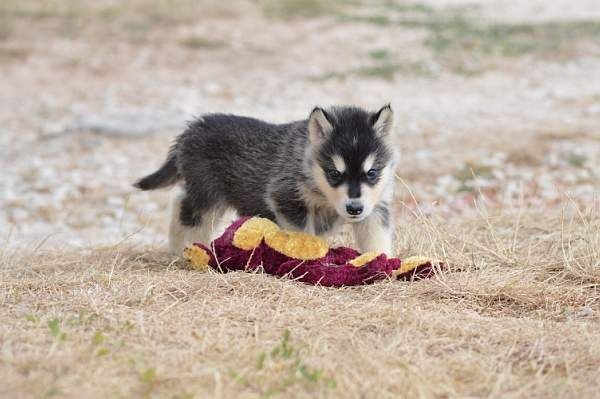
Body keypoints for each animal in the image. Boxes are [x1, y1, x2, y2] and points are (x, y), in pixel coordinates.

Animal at [135, 105, 398, 256]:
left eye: (372, 173)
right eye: (334, 174)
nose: (354, 209)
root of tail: (192, 128)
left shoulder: (375, 208)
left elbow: (376, 237)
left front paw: (383, 262)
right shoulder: (286, 198)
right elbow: (303, 234)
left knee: (182, 199)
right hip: (207, 194)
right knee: (188, 213)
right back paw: (184, 248)